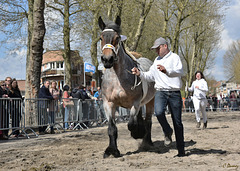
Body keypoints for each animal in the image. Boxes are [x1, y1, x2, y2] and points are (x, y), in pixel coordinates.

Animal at [98, 15, 156, 158]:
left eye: (117, 38)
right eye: (101, 38)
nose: (107, 59)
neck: (117, 79)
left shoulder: (134, 103)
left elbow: (131, 124)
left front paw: (137, 132)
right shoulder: (108, 103)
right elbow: (112, 128)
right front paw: (112, 150)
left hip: (150, 101)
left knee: (148, 121)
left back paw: (147, 142)